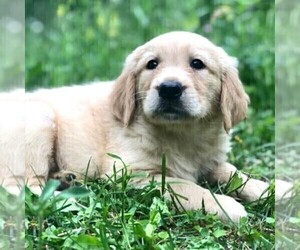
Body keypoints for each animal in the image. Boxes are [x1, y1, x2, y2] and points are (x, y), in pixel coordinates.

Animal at [0, 31, 290, 223]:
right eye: (152, 64)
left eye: (197, 64)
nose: (169, 88)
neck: (182, 133)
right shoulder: (132, 172)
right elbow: (181, 185)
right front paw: (225, 205)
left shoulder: (210, 161)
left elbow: (234, 173)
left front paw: (275, 188)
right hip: (39, 120)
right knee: (21, 189)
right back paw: (70, 198)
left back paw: (65, 179)